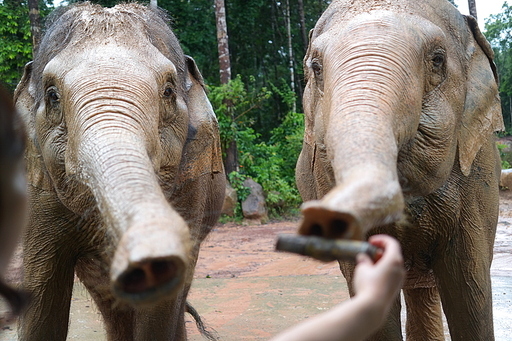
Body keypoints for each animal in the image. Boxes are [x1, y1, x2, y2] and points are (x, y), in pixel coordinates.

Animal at [13, 3, 224, 340]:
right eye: (52, 96)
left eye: (168, 91)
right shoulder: (38, 192)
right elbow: (41, 299)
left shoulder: (192, 188)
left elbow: (159, 313)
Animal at [296, 0, 504, 340]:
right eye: (315, 67)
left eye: (437, 60)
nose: (323, 218)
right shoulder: (324, 176)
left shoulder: (477, 177)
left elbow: (469, 293)